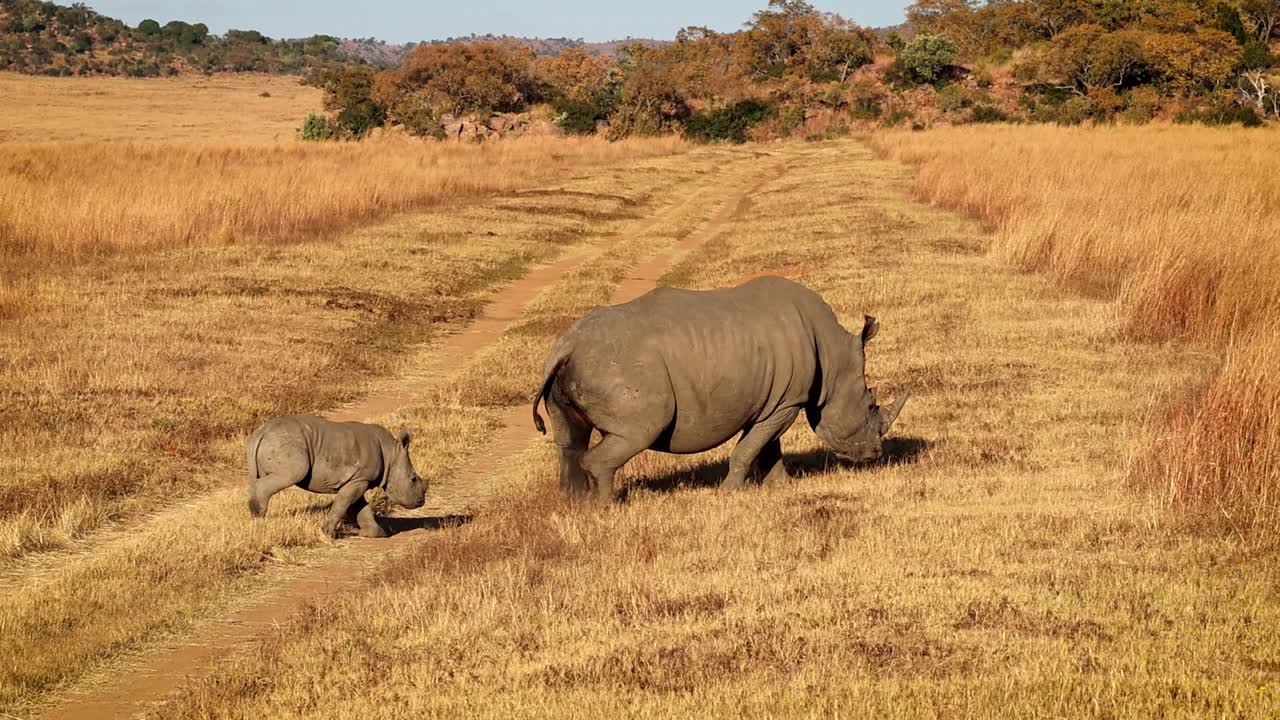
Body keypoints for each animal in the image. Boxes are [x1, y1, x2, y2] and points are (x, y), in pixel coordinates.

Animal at [246, 416, 426, 538]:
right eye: (413, 479)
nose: (421, 502)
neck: (391, 454)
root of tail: (262, 432)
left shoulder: (358, 478)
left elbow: (360, 506)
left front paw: (375, 533)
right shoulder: (360, 478)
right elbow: (344, 503)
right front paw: (327, 533)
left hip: (275, 442)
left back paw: (256, 518)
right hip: (288, 444)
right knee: (294, 473)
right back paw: (259, 517)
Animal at [532, 276, 908, 502]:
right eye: (870, 405)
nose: (875, 455)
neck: (833, 356)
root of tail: (567, 345)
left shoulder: (777, 402)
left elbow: (768, 446)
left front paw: (780, 486)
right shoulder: (788, 401)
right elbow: (751, 447)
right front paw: (729, 493)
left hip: (571, 368)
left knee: (569, 439)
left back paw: (575, 506)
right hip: (622, 371)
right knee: (637, 432)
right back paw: (605, 508)